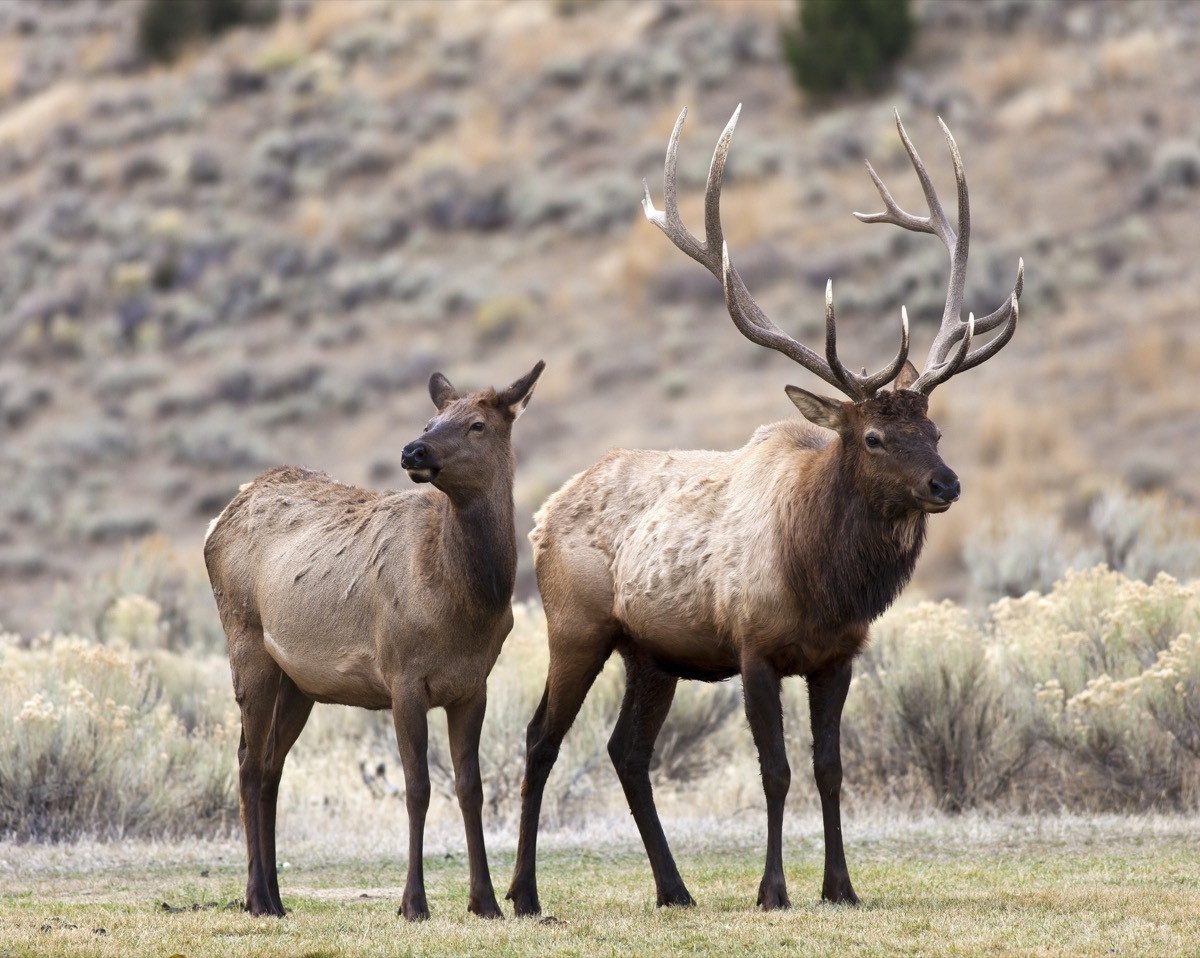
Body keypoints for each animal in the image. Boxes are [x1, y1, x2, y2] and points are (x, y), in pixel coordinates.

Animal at [206, 362, 544, 921]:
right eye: (431, 420)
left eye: (477, 424)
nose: (413, 451)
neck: (468, 603)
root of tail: (218, 519)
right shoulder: (403, 677)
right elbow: (418, 788)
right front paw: (414, 903)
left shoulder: (473, 686)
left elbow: (469, 787)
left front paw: (486, 901)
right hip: (246, 642)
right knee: (248, 763)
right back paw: (255, 897)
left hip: (298, 682)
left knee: (272, 765)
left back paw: (276, 896)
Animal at [506, 106, 1022, 917]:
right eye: (874, 436)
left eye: (935, 430)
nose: (946, 484)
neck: (822, 580)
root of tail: (544, 512)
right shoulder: (752, 647)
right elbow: (775, 770)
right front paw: (773, 889)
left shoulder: (839, 656)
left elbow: (830, 768)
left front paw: (841, 887)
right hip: (577, 625)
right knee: (540, 739)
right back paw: (522, 894)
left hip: (650, 652)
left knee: (628, 752)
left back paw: (674, 889)